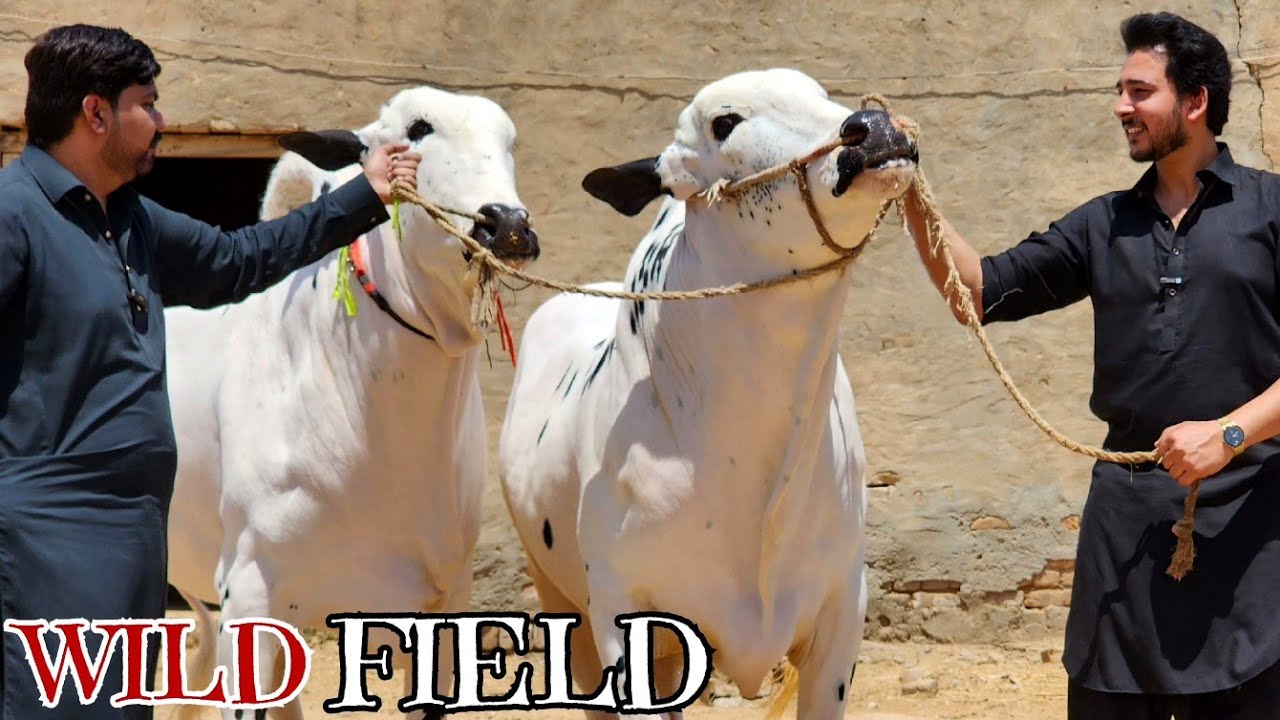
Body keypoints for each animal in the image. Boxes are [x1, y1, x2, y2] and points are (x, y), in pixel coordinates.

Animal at [497, 68, 917, 720]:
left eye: (820, 93)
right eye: (726, 122)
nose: (874, 128)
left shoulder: (842, 612)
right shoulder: (619, 617)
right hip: (559, 598)